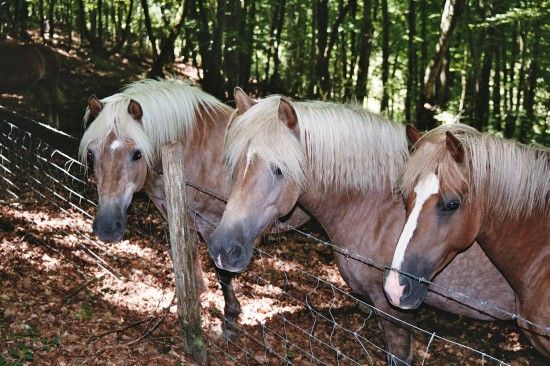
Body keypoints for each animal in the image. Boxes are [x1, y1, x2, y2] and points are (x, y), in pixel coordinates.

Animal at [77, 78, 310, 340]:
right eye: (91, 154)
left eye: (137, 154)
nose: (107, 228)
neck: (193, 149)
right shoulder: (178, 215)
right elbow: (187, 254)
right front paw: (192, 300)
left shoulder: (214, 224)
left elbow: (222, 272)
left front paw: (229, 320)